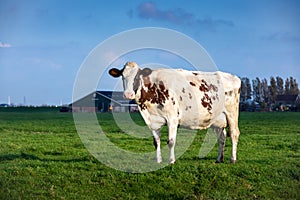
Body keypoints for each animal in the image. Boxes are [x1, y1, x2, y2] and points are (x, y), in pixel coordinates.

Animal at [109, 61, 240, 163]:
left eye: (137, 77)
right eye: (122, 76)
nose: (128, 94)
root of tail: (233, 77)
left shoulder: (172, 118)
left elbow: (171, 141)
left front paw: (171, 160)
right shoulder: (152, 121)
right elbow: (156, 142)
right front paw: (158, 160)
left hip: (232, 113)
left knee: (234, 133)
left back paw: (232, 159)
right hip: (218, 119)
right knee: (221, 137)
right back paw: (219, 159)